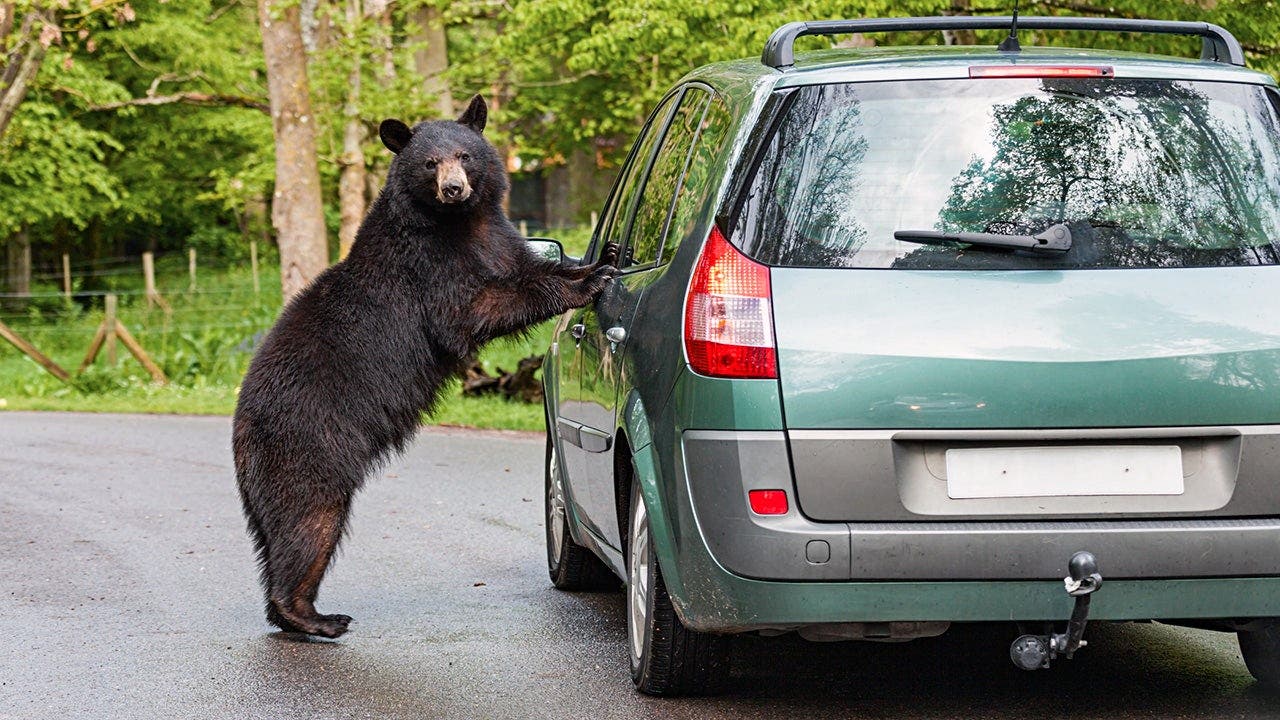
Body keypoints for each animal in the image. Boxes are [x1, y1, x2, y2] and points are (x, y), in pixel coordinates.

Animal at [232, 95, 617, 639]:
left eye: (464, 154)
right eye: (430, 163)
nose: (454, 189)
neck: (458, 223)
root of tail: (241, 425)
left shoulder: (497, 237)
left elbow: (526, 266)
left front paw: (597, 260)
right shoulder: (428, 266)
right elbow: (472, 308)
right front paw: (587, 283)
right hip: (309, 441)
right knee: (308, 520)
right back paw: (315, 616)